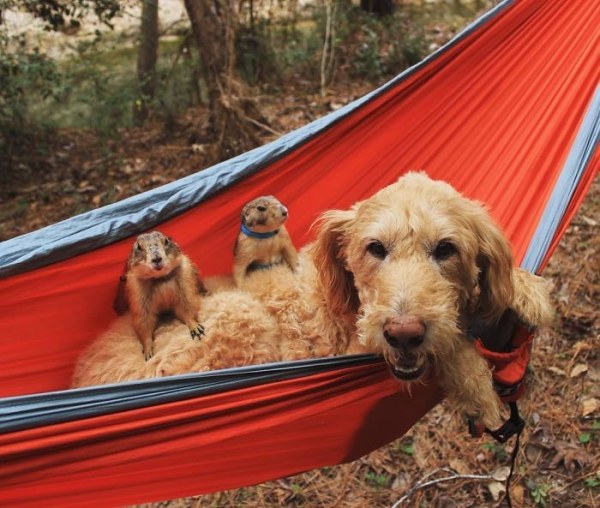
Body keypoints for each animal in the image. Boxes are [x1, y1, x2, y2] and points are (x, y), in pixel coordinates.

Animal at [72, 175, 552, 428]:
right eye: (375, 248)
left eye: (447, 249)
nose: (404, 332)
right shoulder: (358, 344)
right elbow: (454, 350)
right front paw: (478, 388)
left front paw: (525, 292)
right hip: (238, 318)